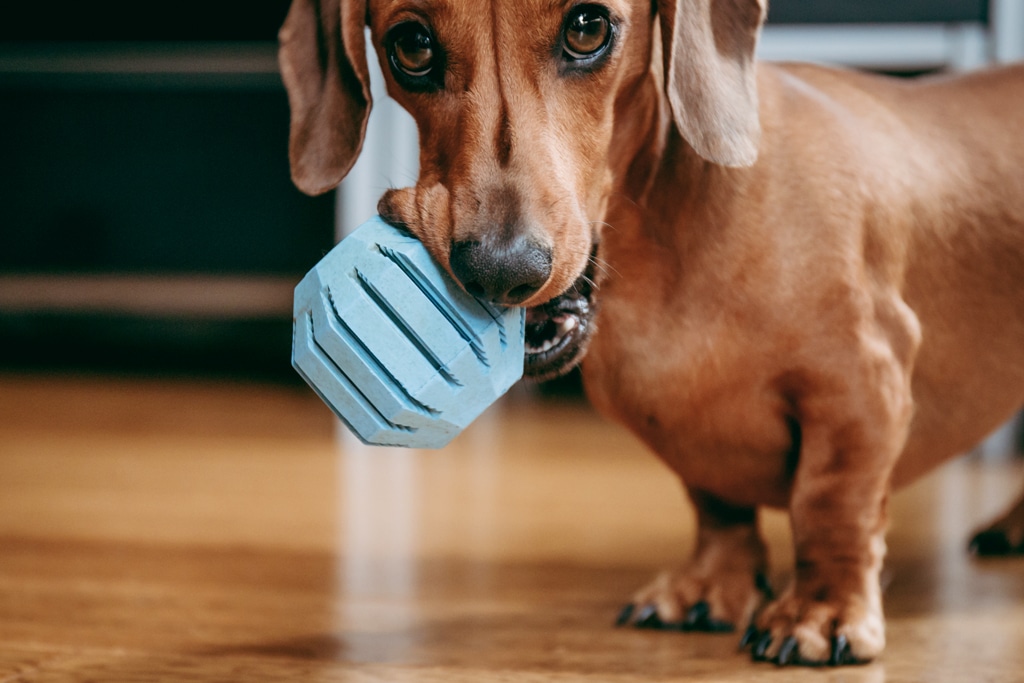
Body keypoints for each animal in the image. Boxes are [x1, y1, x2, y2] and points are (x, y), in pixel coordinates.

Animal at [278, 0, 1024, 667]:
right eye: (411, 44)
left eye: (588, 28)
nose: (500, 271)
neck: (663, 242)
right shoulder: (683, 424)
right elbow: (717, 504)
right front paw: (711, 586)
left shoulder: (863, 388)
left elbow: (832, 504)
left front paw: (823, 612)